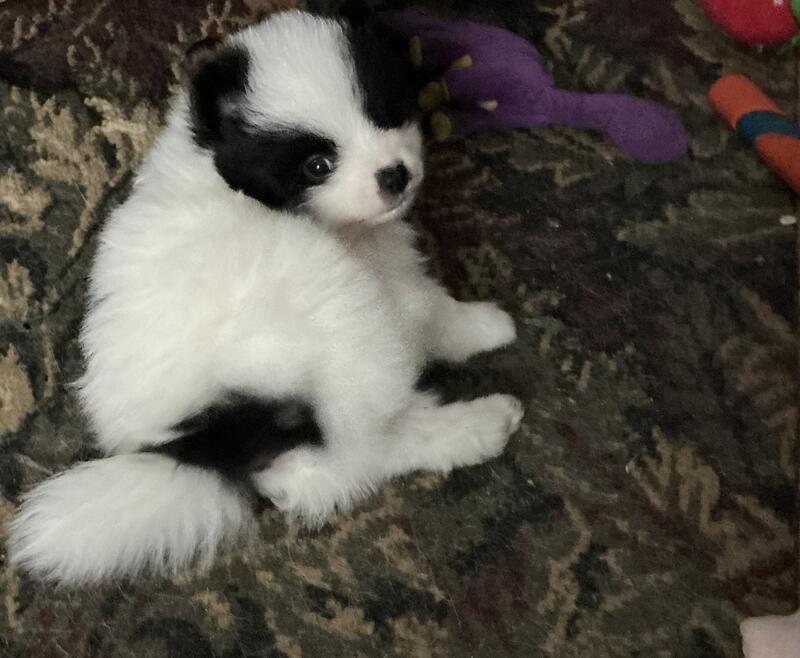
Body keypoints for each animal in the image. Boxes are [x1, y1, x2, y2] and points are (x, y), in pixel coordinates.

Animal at [9, 9, 522, 584]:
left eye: (385, 111)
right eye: (317, 165)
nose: (394, 175)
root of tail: (208, 445)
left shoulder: (390, 267)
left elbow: (432, 309)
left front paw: (485, 328)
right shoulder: (367, 287)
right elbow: (425, 316)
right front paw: (486, 337)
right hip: (337, 334)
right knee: (376, 443)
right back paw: (483, 424)